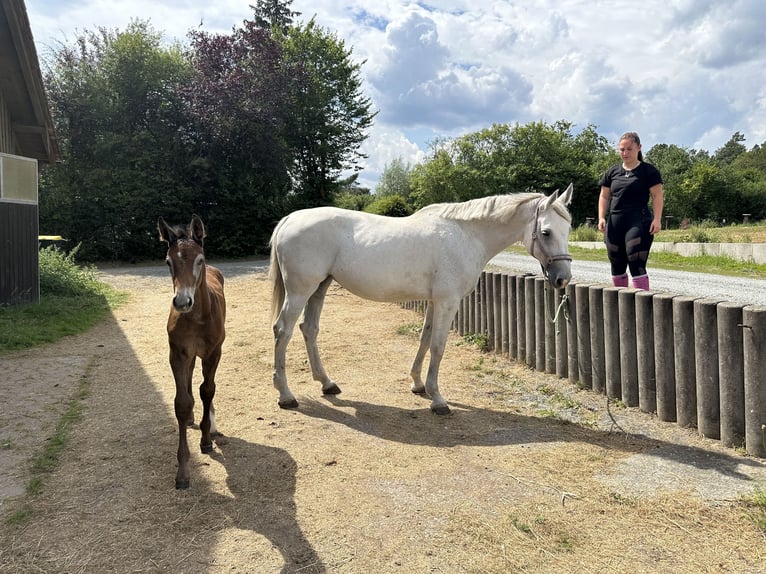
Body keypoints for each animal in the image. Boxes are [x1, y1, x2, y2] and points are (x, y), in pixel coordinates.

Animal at [272, 183, 576, 414]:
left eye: (568, 230)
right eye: (546, 232)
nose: (563, 278)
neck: (466, 235)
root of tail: (290, 219)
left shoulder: (433, 302)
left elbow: (425, 339)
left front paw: (418, 385)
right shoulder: (447, 302)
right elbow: (439, 346)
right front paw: (438, 400)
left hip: (319, 288)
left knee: (309, 329)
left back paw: (327, 383)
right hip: (300, 291)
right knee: (282, 331)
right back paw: (286, 395)